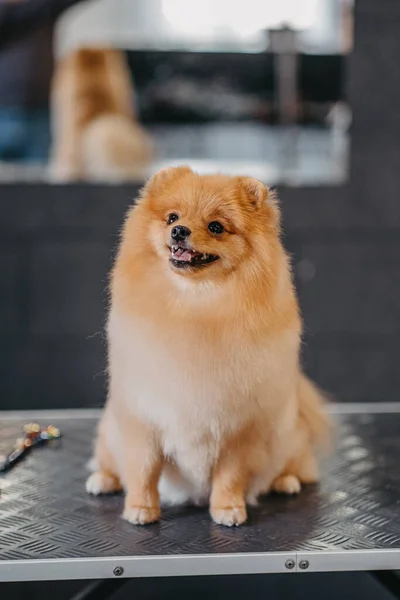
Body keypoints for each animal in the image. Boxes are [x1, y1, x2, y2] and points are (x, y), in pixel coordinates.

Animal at [86, 166, 330, 528]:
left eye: (216, 226)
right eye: (172, 217)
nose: (179, 231)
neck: (196, 306)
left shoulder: (238, 428)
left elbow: (230, 475)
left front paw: (227, 508)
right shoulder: (143, 416)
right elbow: (143, 468)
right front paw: (140, 508)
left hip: (285, 434)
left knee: (294, 462)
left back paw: (285, 480)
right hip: (110, 430)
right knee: (107, 458)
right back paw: (103, 478)